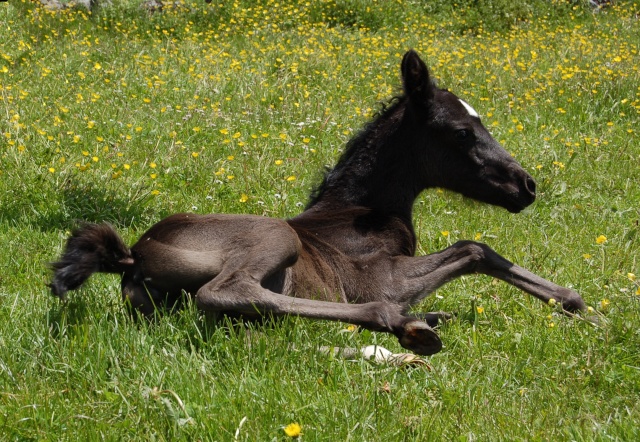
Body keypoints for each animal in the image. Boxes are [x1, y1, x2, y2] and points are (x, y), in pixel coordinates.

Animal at [52, 51, 588, 356]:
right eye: (461, 131)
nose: (527, 186)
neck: (363, 212)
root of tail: (134, 257)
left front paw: (576, 304)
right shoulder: (383, 277)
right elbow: (474, 248)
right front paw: (577, 304)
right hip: (273, 237)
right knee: (227, 292)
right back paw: (401, 326)